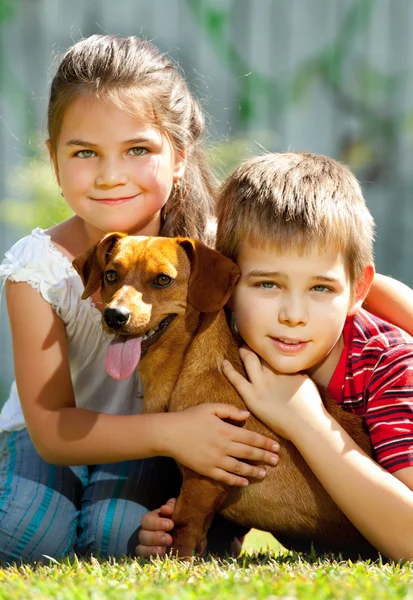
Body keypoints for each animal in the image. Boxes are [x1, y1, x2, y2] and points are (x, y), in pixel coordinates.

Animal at [73, 232, 376, 560]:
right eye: (110, 275)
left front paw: (178, 561)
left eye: (163, 279)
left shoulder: (205, 479)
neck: (183, 368)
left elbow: (184, 524)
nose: (114, 315)